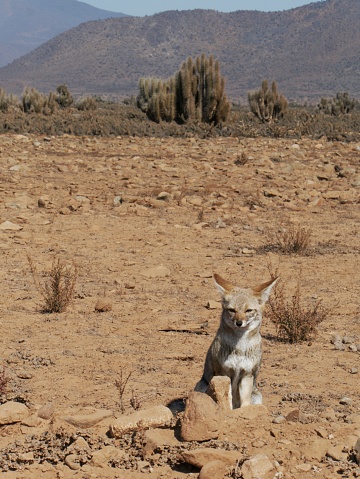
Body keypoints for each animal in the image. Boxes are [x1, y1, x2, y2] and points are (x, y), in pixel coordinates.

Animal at [194, 274, 278, 408]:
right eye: (232, 310)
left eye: (248, 310)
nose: (239, 322)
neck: (240, 347)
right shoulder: (223, 374)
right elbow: (227, 401)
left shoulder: (247, 374)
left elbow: (245, 403)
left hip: (257, 395)